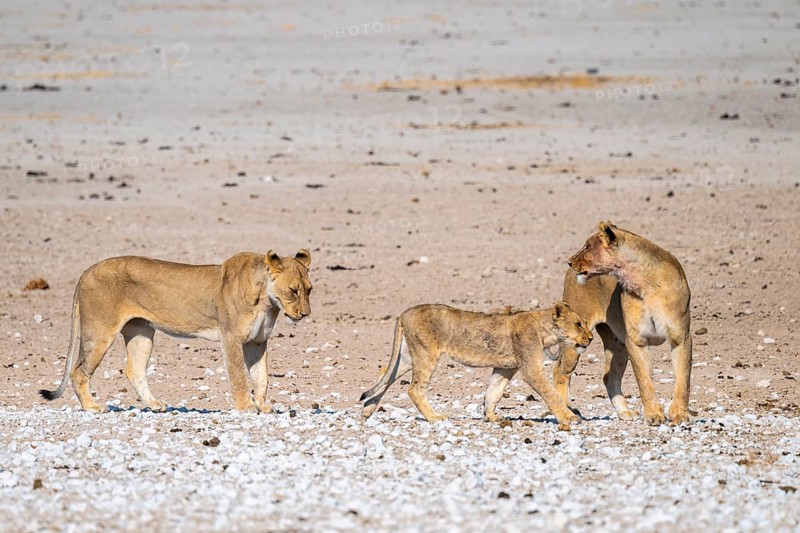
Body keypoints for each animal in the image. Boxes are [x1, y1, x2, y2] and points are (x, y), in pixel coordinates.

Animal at [39, 250, 312, 413]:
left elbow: (262, 377)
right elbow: (239, 377)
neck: (267, 301)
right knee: (78, 371)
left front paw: (263, 407)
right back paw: (92, 407)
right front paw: (245, 407)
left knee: (134, 370)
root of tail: (86, 272)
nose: (305, 314)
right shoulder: (231, 338)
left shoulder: (257, 342)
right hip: (99, 332)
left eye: (309, 289)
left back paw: (154, 404)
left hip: (141, 333)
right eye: (293, 290)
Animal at [360, 301, 593, 430]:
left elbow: (494, 392)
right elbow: (551, 394)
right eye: (578, 324)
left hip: (408, 358)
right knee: (414, 389)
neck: (546, 330)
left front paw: (491, 416)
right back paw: (435, 417)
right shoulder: (531, 369)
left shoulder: (505, 368)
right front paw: (569, 417)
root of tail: (405, 312)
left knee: (385, 376)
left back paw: (367, 410)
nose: (590, 338)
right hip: (426, 355)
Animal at [554, 221, 692, 425]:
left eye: (587, 246)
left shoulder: (680, 337)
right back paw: (568, 411)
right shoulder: (635, 340)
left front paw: (680, 415)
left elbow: (683, 379)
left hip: (617, 346)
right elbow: (645, 381)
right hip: (575, 340)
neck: (646, 283)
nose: (570, 262)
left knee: (608, 378)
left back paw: (625, 412)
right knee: (561, 373)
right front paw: (653, 414)